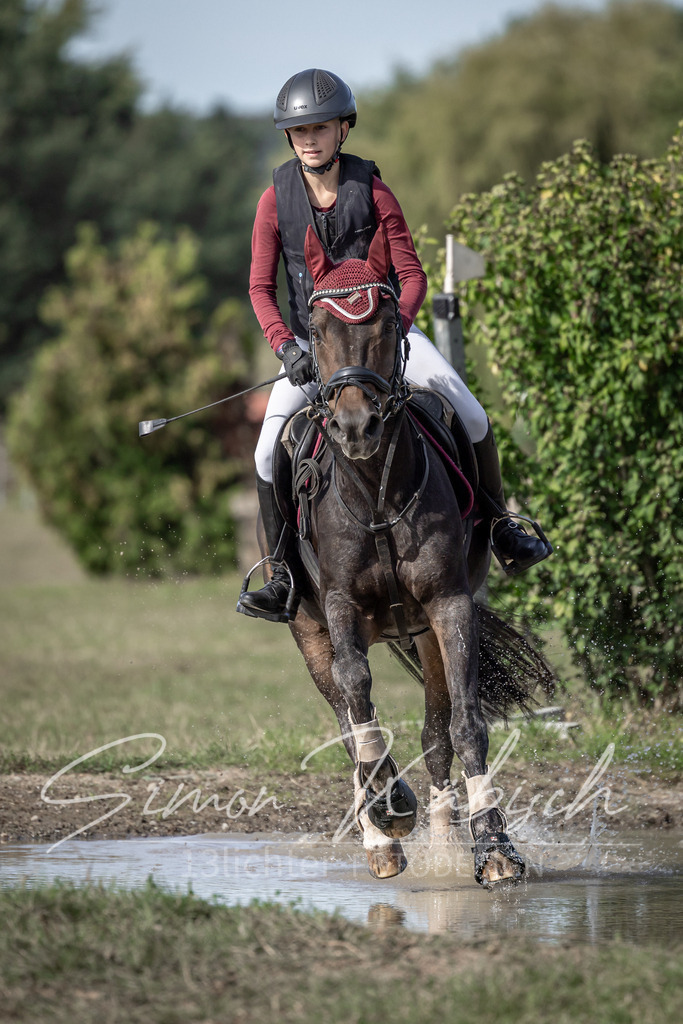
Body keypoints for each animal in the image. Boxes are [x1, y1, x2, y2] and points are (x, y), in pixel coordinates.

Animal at [251, 225, 553, 886]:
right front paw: (390, 809)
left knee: (436, 733)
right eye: (316, 328)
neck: (374, 490)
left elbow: (465, 724)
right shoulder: (338, 610)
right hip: (309, 632)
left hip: (423, 631)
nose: (355, 425)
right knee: (347, 720)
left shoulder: (448, 605)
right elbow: (358, 696)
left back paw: (443, 837)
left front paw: (493, 847)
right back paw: (380, 834)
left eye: (389, 320)